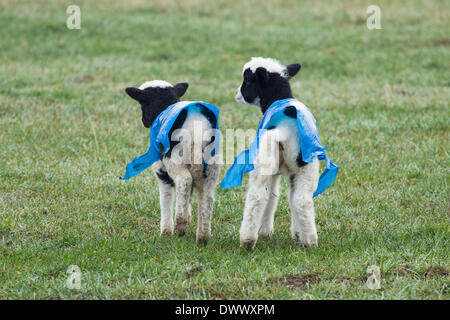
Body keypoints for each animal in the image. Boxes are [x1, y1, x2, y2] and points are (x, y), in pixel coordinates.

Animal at [122, 80, 221, 245]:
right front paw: (187, 217)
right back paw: (203, 236)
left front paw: (166, 231)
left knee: (184, 180)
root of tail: (197, 127)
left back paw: (180, 224)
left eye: (142, 104)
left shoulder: (161, 170)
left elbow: (166, 197)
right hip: (211, 165)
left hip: (175, 158)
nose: (143, 122)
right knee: (206, 195)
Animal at [221, 58, 338, 251]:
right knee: (302, 200)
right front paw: (297, 235)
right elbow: (290, 198)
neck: (277, 98)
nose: (237, 93)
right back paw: (310, 241)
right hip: (307, 165)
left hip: (265, 159)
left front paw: (265, 232)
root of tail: (285, 131)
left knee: (257, 197)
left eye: (247, 80)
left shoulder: (272, 170)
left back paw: (247, 240)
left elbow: (271, 197)